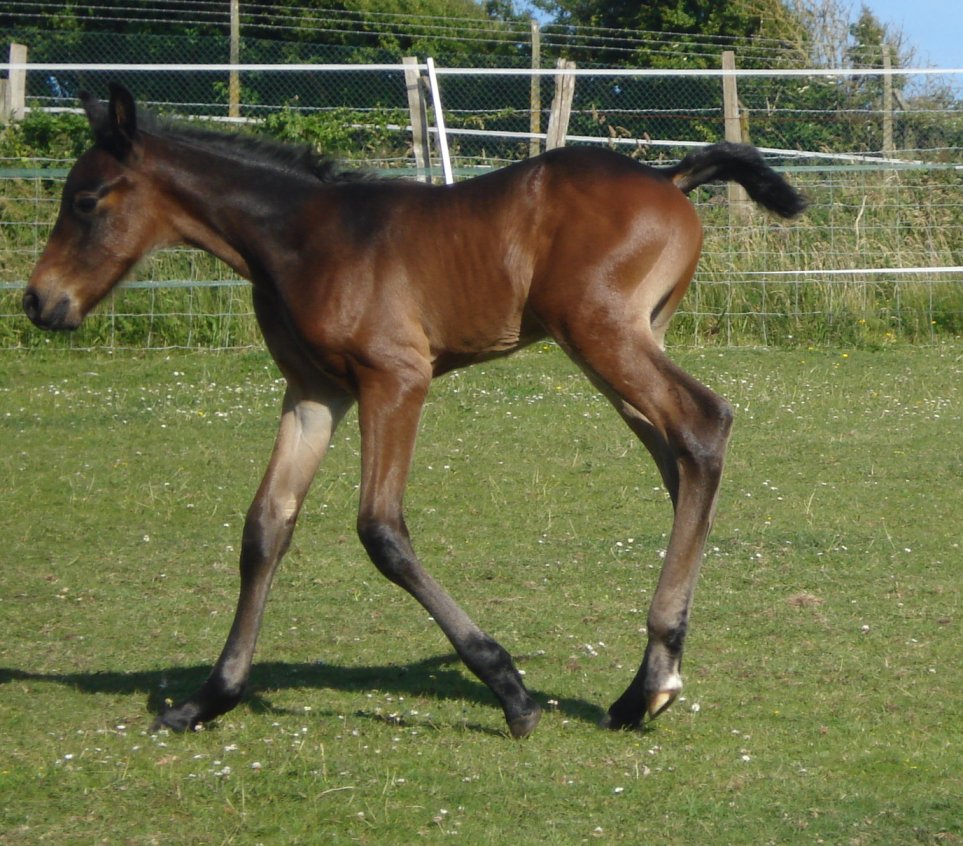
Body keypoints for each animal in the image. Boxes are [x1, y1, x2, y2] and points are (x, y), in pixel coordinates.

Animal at [24, 84, 806, 738]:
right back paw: (647, 684)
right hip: (616, 346)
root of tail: (666, 177)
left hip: (601, 336)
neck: (301, 238)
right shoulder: (314, 393)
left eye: (85, 201)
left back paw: (648, 683)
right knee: (680, 462)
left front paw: (510, 690)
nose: (38, 301)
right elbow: (266, 527)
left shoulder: (395, 378)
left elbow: (381, 531)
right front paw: (207, 698)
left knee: (703, 425)